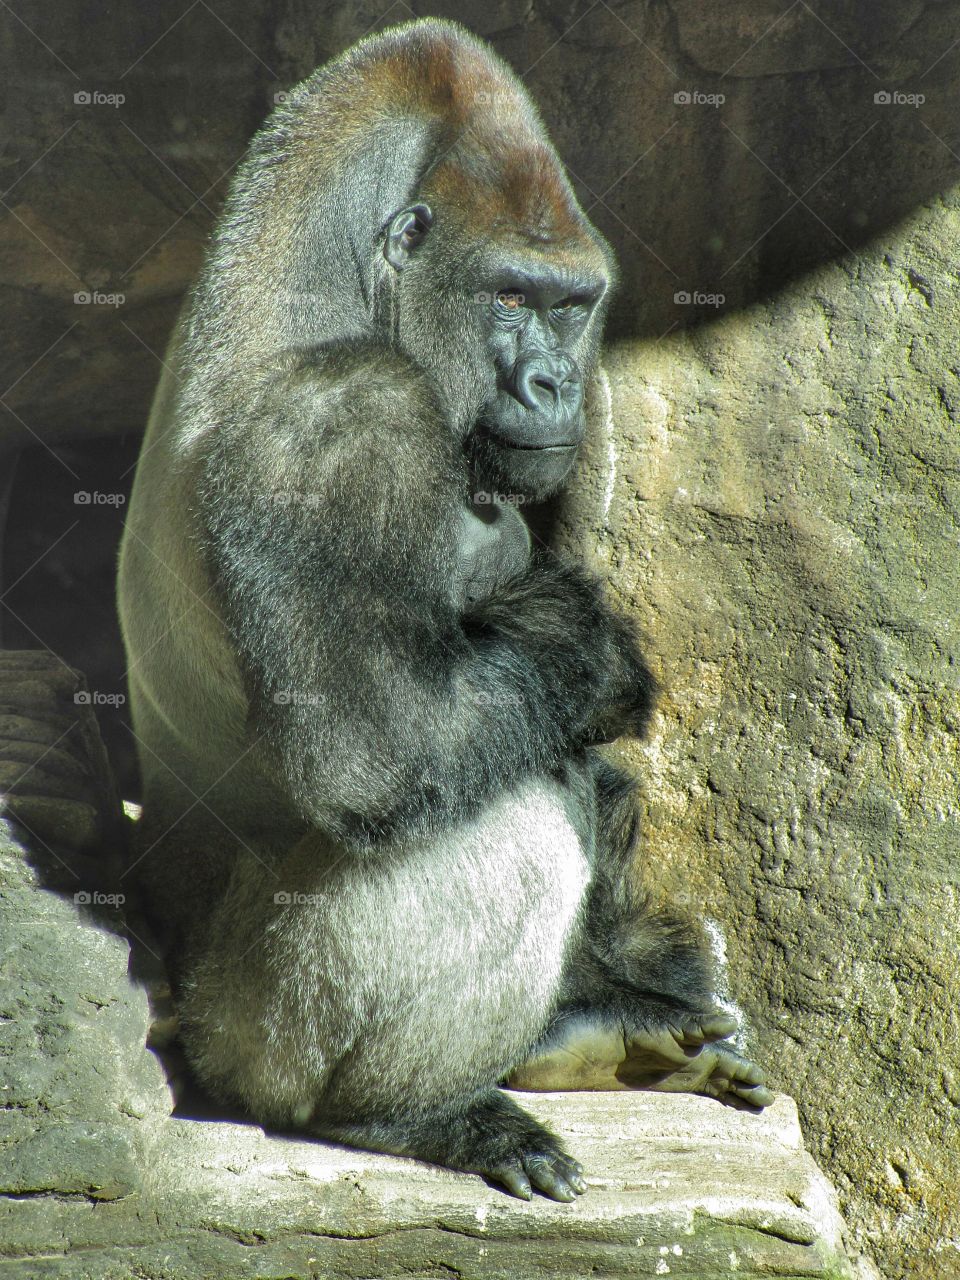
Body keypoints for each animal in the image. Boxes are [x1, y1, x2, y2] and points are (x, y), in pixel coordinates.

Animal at [117, 18, 772, 1203]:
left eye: (570, 304)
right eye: (509, 297)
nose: (556, 381)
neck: (324, 280)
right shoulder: (335, 420)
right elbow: (384, 749)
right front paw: (590, 656)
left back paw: (584, 1029)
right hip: (241, 1043)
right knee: (510, 813)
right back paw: (409, 1114)